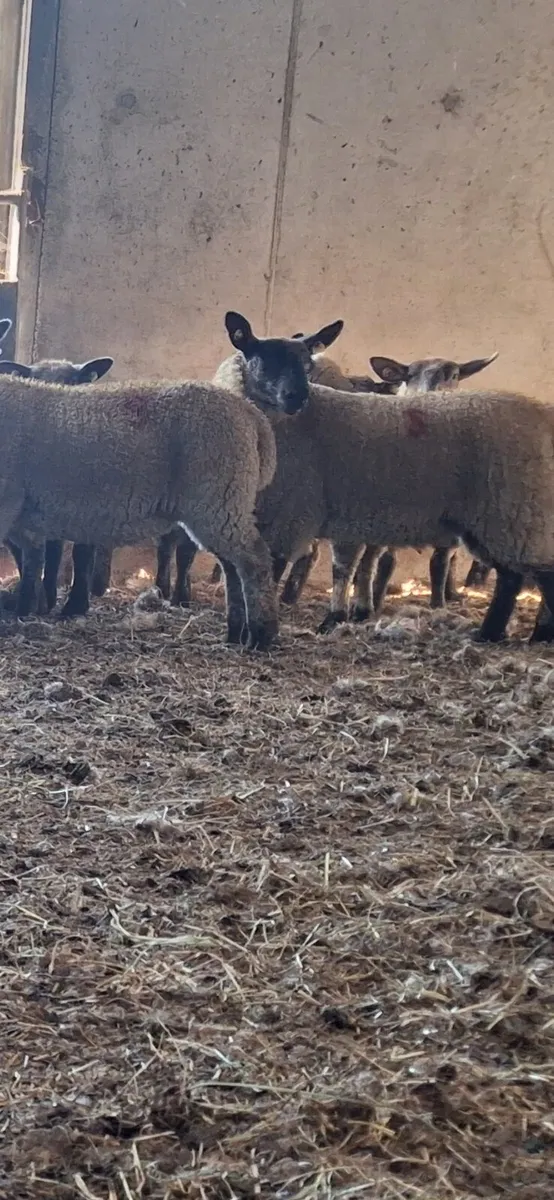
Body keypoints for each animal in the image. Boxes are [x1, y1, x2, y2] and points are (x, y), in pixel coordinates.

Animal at [216, 318, 554, 645]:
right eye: (263, 359)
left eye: (306, 362)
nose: (297, 397)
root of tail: (542, 414)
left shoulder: (288, 516)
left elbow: (271, 574)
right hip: (498, 522)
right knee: (514, 576)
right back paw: (499, 634)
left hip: (514, 514)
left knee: (531, 575)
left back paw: (528, 633)